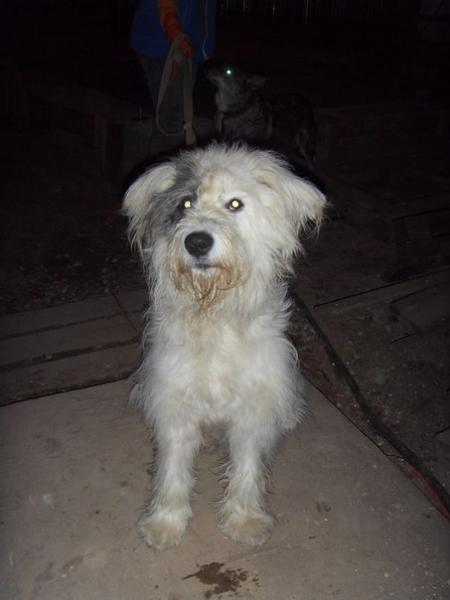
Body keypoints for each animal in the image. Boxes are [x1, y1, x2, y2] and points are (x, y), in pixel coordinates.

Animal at [123, 142, 326, 549]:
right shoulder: (174, 404)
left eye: (235, 204)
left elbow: (246, 467)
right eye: (185, 203)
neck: (214, 316)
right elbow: (172, 469)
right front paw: (165, 523)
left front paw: (245, 521)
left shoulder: (253, 408)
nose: (197, 241)